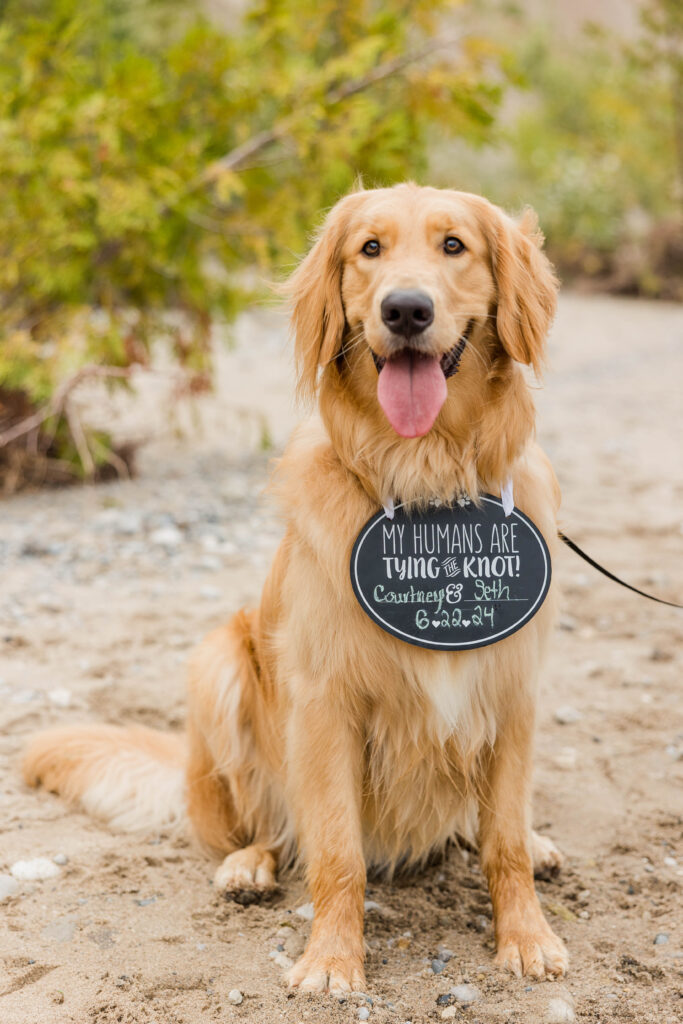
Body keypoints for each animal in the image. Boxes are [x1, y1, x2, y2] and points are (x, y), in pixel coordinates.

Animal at [22, 182, 565, 991]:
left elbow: (500, 840)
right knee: (261, 830)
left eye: (454, 246)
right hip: (216, 662)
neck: (427, 484)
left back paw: (538, 843)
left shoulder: (511, 690)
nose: (406, 310)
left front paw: (525, 937)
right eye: (369, 249)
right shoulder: (323, 703)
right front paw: (332, 960)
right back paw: (247, 866)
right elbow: (336, 852)